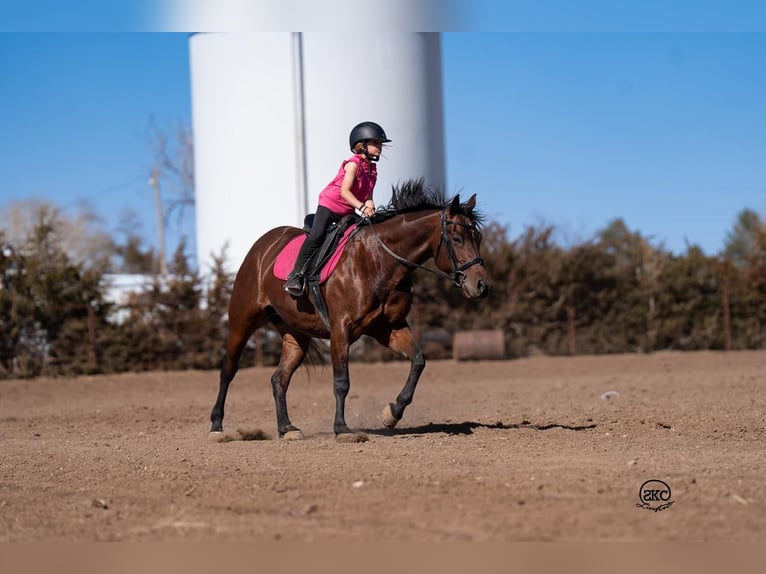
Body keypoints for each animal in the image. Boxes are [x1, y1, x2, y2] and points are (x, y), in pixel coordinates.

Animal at [210, 182, 492, 444]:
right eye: (456, 239)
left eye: (478, 238)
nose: (481, 285)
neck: (380, 261)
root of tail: (262, 245)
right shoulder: (341, 330)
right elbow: (341, 382)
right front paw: (342, 429)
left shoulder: (389, 328)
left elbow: (418, 360)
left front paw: (392, 413)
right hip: (242, 321)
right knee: (228, 370)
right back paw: (216, 427)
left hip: (295, 333)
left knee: (279, 379)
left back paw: (287, 428)